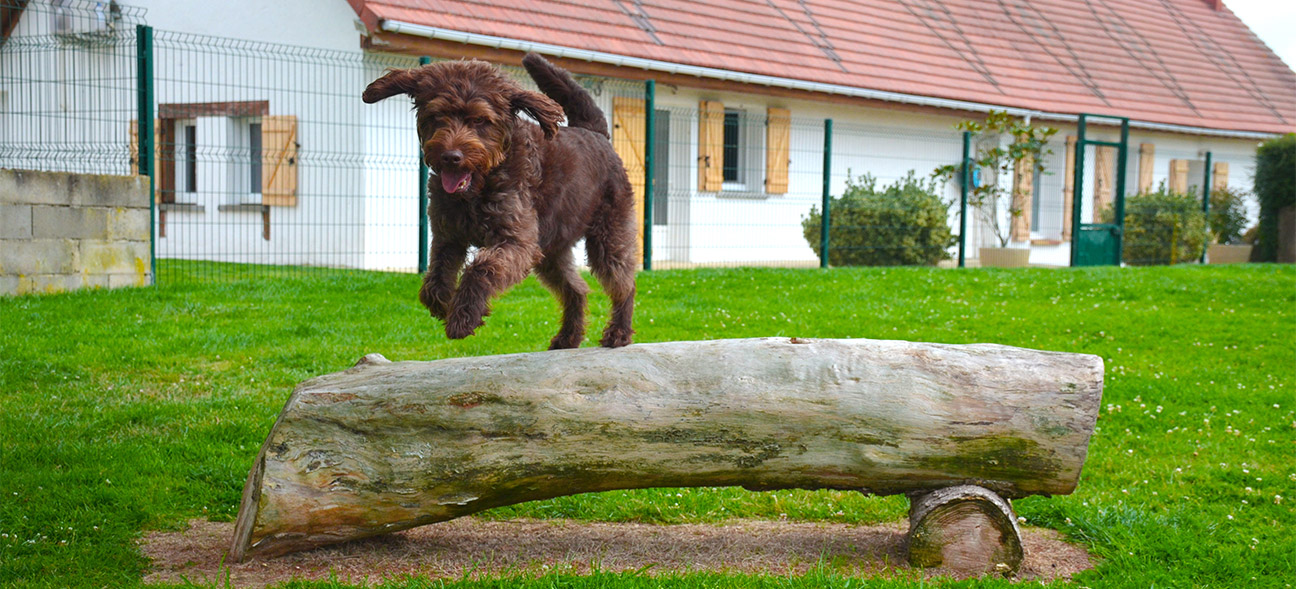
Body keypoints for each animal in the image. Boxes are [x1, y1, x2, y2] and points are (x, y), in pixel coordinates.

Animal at [362, 52, 635, 350]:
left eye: (480, 120)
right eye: (436, 115)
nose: (451, 156)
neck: (479, 188)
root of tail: (596, 133)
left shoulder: (516, 241)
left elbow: (481, 268)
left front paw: (464, 317)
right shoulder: (448, 236)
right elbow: (434, 279)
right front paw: (444, 303)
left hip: (607, 237)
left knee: (625, 283)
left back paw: (618, 333)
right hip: (551, 250)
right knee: (577, 288)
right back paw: (568, 337)